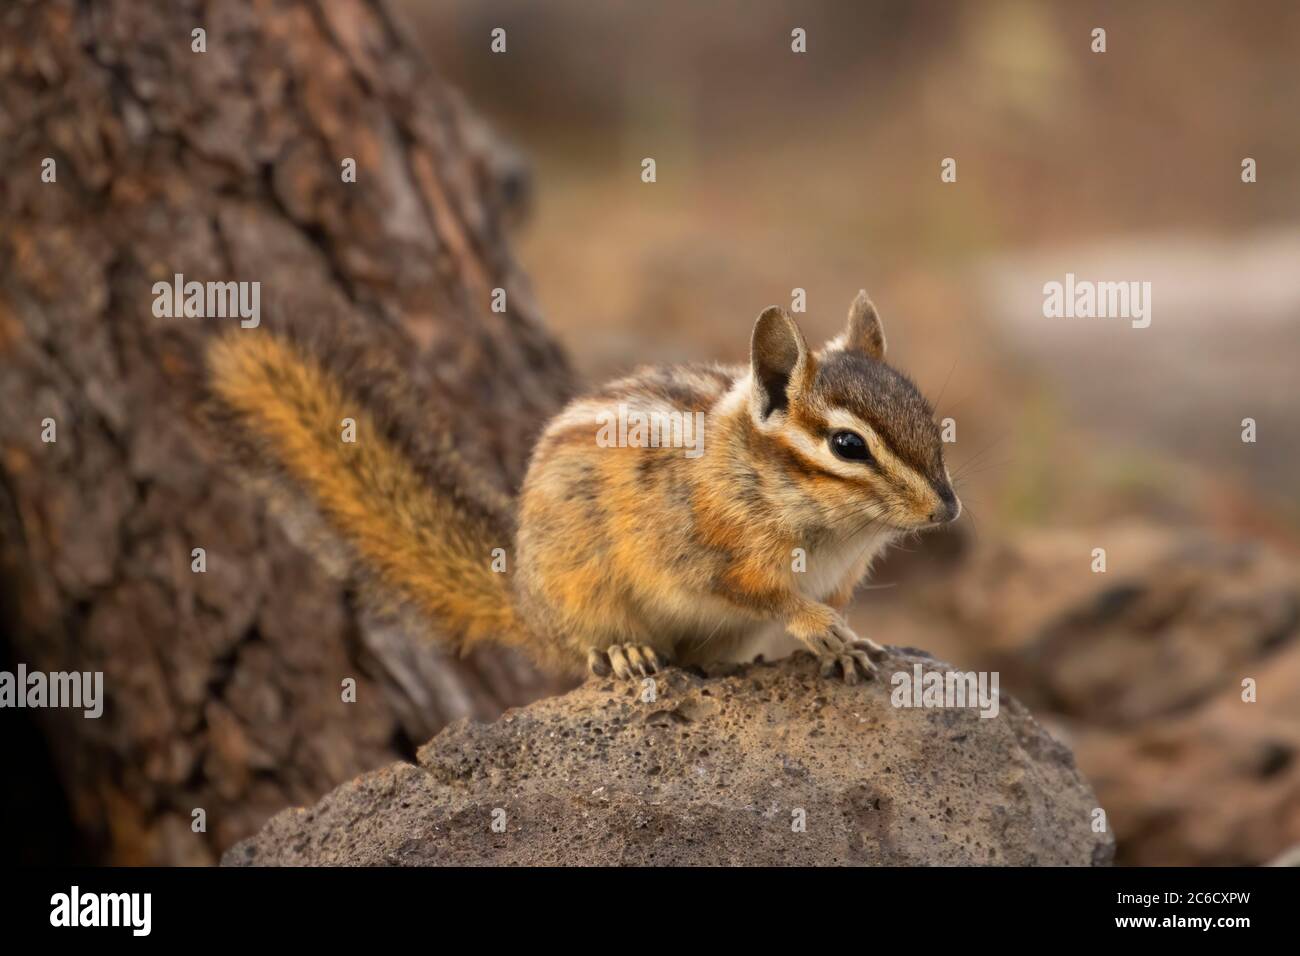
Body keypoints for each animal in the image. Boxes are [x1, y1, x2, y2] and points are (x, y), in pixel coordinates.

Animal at [207, 291, 959, 684]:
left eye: (927, 413)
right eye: (847, 445)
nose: (946, 507)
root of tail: (523, 596)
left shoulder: (841, 575)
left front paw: (851, 642)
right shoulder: (703, 547)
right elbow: (760, 592)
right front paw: (817, 627)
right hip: (581, 589)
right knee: (584, 648)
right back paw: (622, 650)